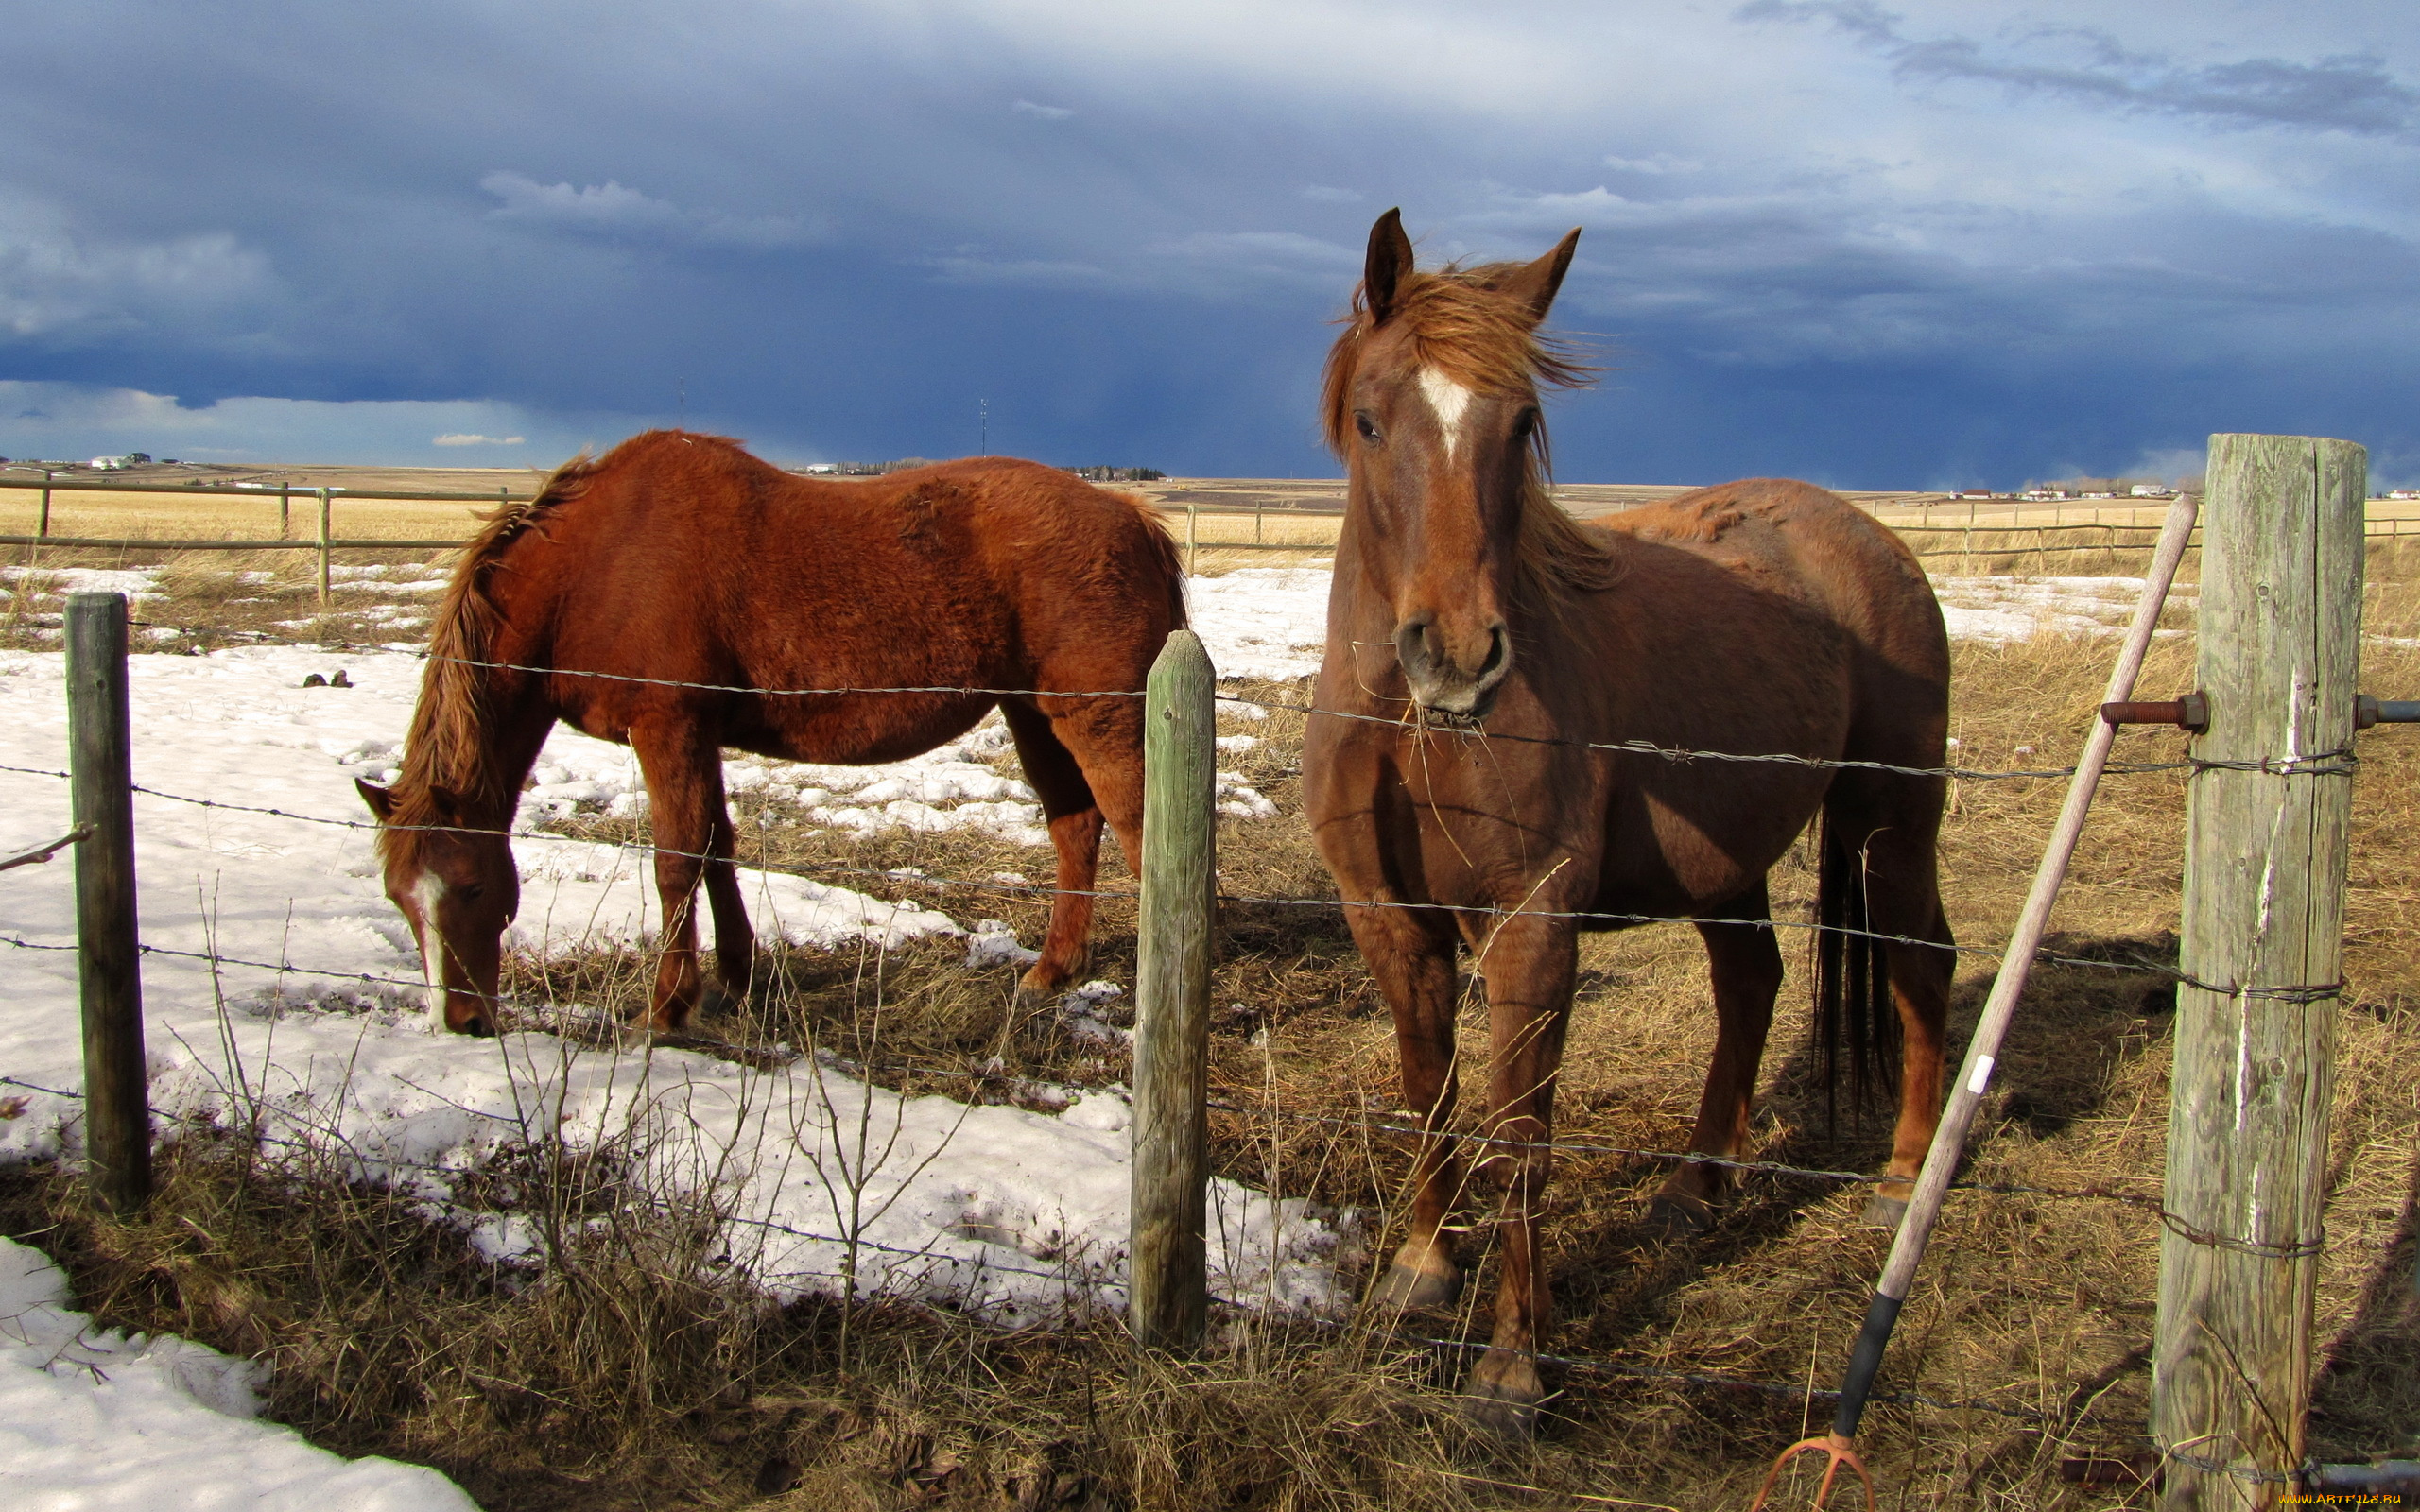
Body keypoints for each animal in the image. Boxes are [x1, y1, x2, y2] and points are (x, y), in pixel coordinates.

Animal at [355, 430, 1181, 1030]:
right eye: (399, 898)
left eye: (468, 887)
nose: (460, 1021)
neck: (593, 563)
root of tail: (1131, 518)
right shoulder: (701, 737)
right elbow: (717, 847)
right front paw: (736, 975)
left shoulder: (668, 728)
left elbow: (676, 861)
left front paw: (668, 1007)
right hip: (1032, 712)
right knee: (1074, 827)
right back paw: (1051, 970)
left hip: (1098, 721)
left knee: (1142, 835)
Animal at [1316, 209, 1955, 1422]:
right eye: (1371, 419)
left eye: (1521, 425)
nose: (1458, 656)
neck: (1409, 727)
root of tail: (1871, 538)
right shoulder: (1386, 917)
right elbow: (1428, 1092)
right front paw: (1421, 1268)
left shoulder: (1531, 924)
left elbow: (1521, 1132)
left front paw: (1511, 1370)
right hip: (1731, 862)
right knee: (1750, 984)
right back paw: (1693, 1191)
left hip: (1891, 827)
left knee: (1919, 963)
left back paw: (1903, 1179)